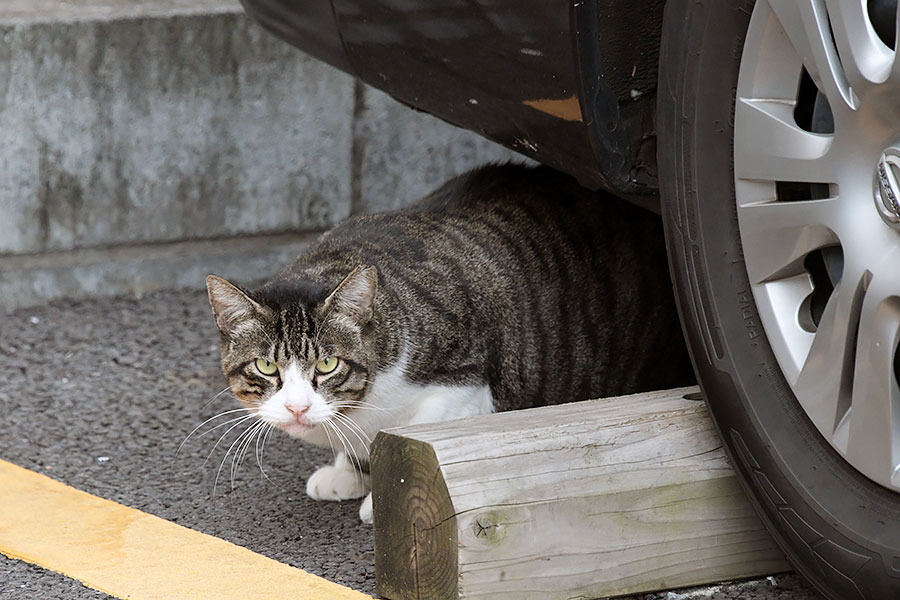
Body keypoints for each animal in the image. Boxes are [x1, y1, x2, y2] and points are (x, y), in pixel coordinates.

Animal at [207, 163, 692, 520]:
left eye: (327, 365)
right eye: (267, 367)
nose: (297, 407)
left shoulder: (467, 385)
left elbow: (418, 436)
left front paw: (379, 499)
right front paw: (347, 471)